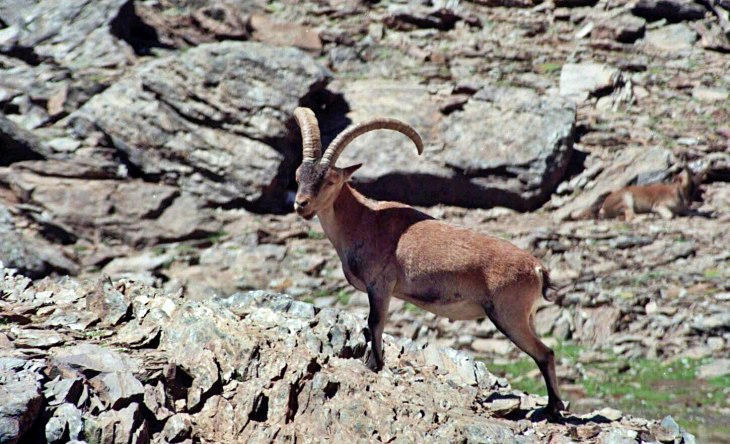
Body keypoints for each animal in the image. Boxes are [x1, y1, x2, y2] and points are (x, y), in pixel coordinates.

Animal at [292, 107, 566, 420]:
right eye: (298, 175)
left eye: (330, 180)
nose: (301, 204)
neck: (362, 220)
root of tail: (537, 268)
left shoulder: (380, 286)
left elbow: (375, 323)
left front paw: (374, 366)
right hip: (526, 316)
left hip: (509, 315)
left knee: (545, 353)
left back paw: (552, 409)